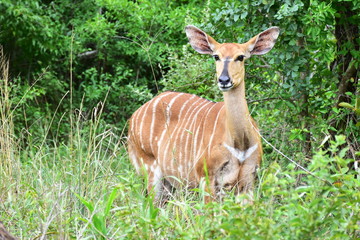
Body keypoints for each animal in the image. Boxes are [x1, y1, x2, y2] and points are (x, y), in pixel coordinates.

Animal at [128, 24, 280, 202]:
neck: (239, 144)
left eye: (240, 57)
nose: (224, 80)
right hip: (150, 169)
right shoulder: (206, 177)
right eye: (216, 56)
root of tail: (133, 117)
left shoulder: (248, 182)